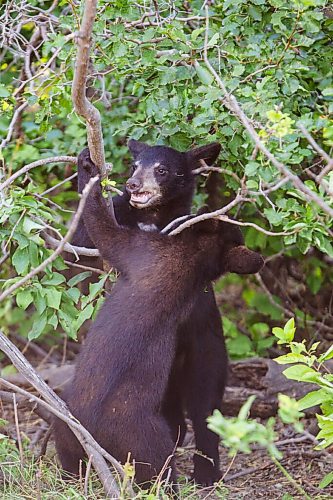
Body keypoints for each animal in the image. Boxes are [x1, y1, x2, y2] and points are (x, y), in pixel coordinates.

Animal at [53, 153, 262, 488]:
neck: (193, 259)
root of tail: (97, 432)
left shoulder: (140, 248)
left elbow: (102, 229)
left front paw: (87, 168)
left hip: (144, 442)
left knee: (157, 468)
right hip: (68, 426)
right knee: (71, 461)